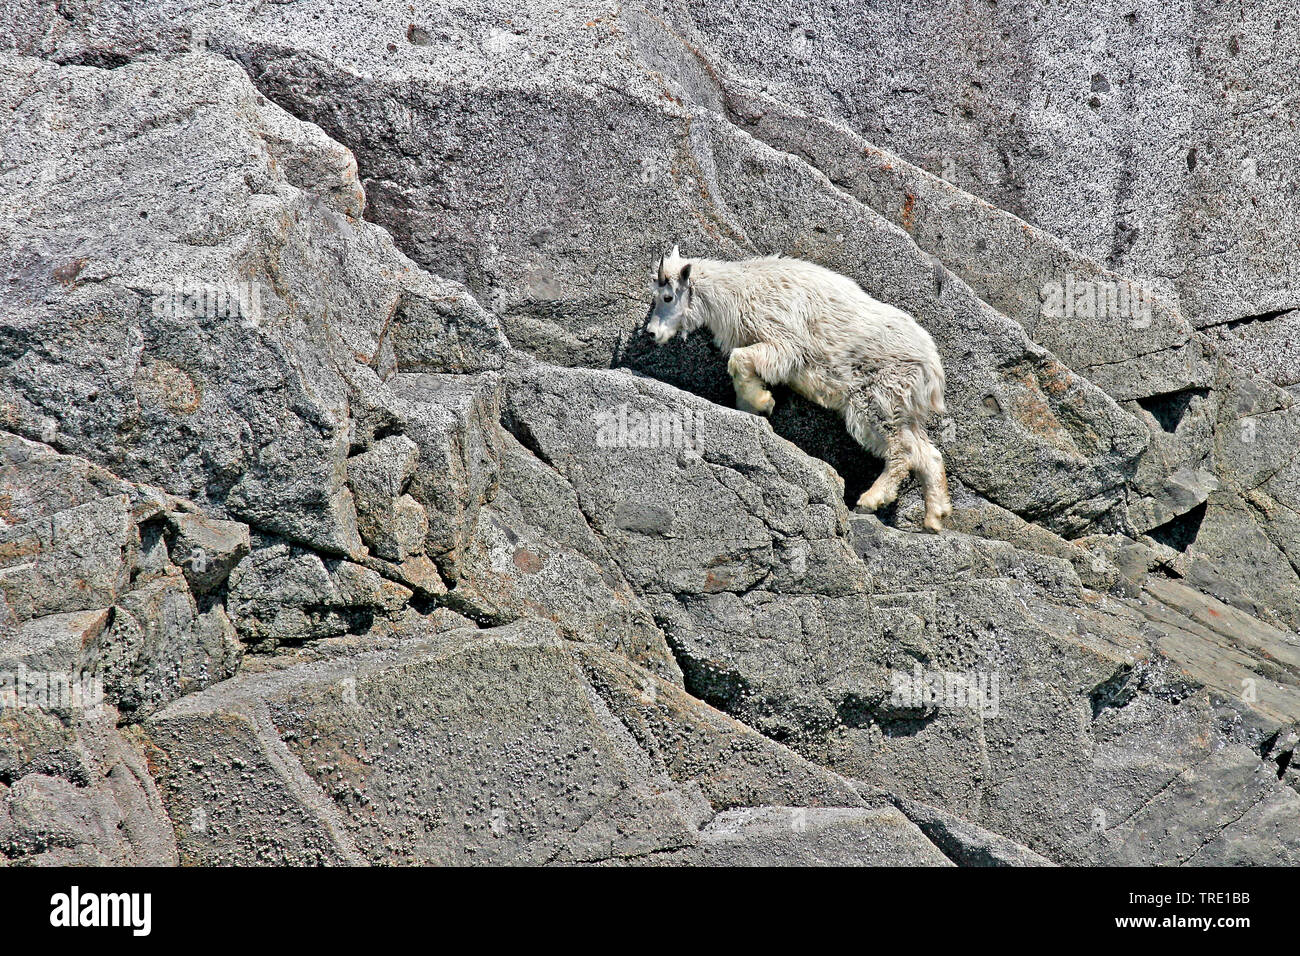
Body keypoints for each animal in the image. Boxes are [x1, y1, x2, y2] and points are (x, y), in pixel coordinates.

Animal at [650, 244, 956, 530]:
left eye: (667, 297)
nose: (651, 333)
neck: (737, 291)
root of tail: (934, 369)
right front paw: (753, 406)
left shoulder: (784, 344)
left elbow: (740, 359)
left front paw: (763, 402)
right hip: (901, 407)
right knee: (927, 453)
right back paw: (935, 517)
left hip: (880, 398)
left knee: (902, 451)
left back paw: (871, 499)